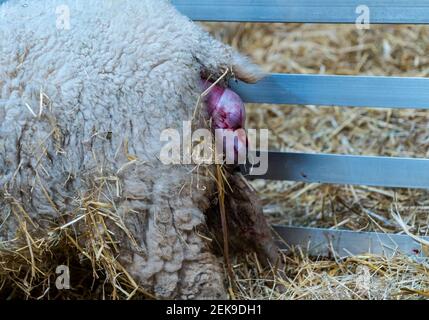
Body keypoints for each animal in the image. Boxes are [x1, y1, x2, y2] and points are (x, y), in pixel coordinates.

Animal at [0, 0, 278, 300]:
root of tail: (193, 43)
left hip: (151, 198)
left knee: (196, 275)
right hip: (202, 170)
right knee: (248, 207)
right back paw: (275, 265)